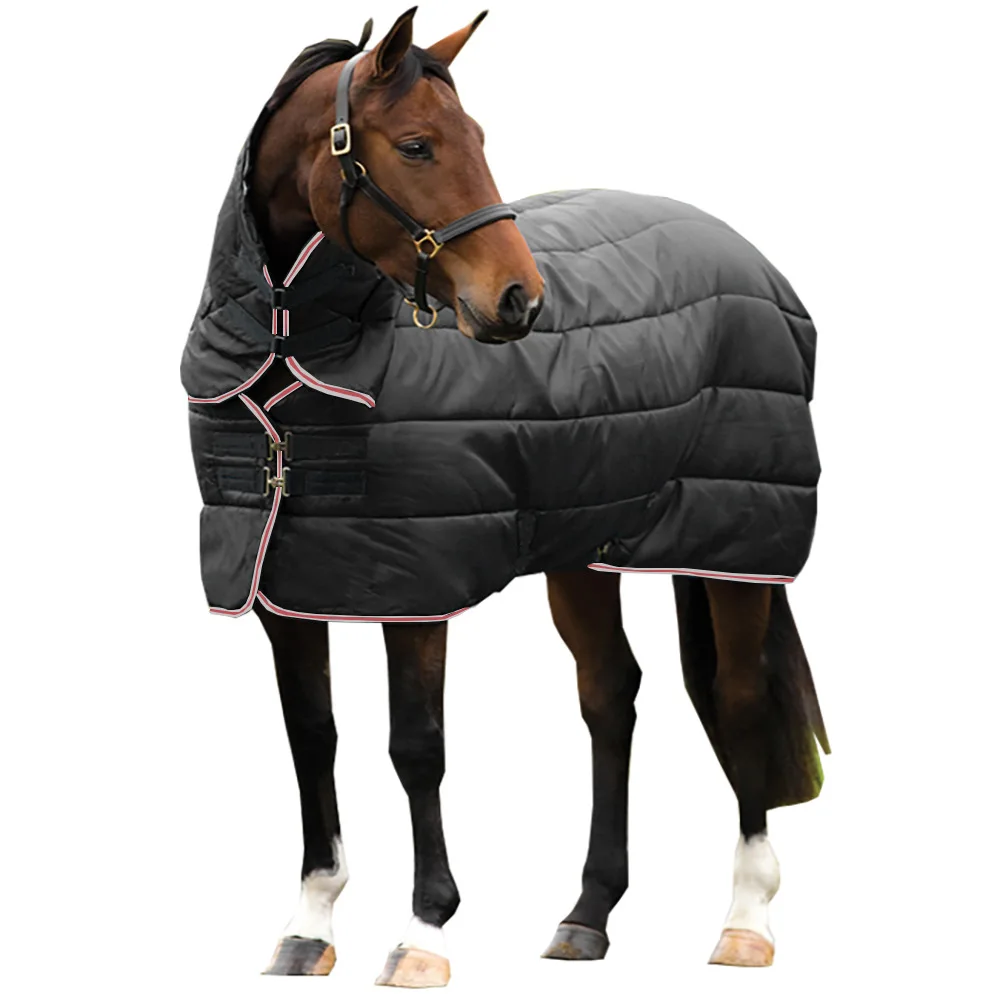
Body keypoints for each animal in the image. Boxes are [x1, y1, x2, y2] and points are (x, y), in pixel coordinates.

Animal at [182, 7, 829, 985]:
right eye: (416, 144)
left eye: (479, 139)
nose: (520, 301)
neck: (300, 350)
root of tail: (750, 258)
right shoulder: (283, 587)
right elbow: (312, 737)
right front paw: (309, 928)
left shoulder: (414, 587)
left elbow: (417, 748)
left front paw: (424, 934)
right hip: (584, 550)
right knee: (611, 694)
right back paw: (587, 916)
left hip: (735, 543)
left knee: (742, 695)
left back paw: (746, 918)